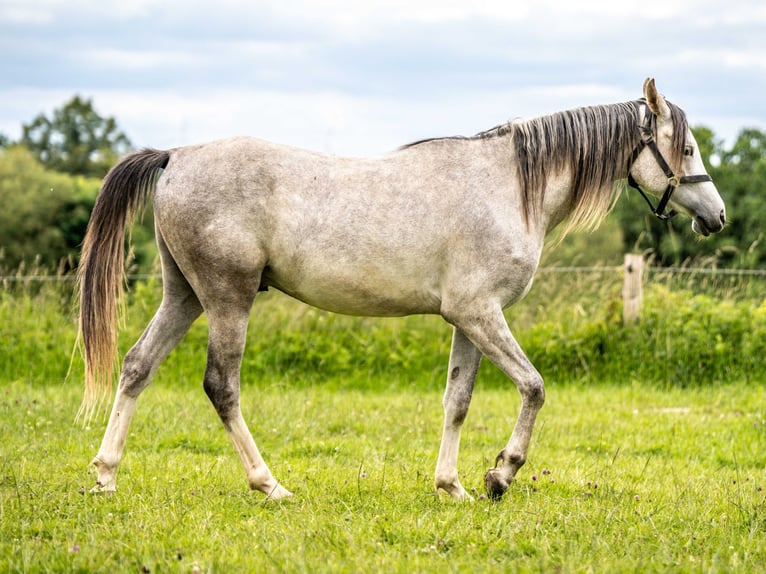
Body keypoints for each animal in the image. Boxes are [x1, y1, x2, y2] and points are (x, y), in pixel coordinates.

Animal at [78, 79, 728, 502]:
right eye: (687, 147)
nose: (717, 216)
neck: (512, 186)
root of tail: (176, 156)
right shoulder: (481, 314)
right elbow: (534, 387)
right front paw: (501, 475)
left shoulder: (468, 320)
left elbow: (457, 400)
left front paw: (453, 485)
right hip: (227, 299)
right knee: (222, 387)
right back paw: (270, 485)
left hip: (184, 296)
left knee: (136, 366)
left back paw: (106, 474)